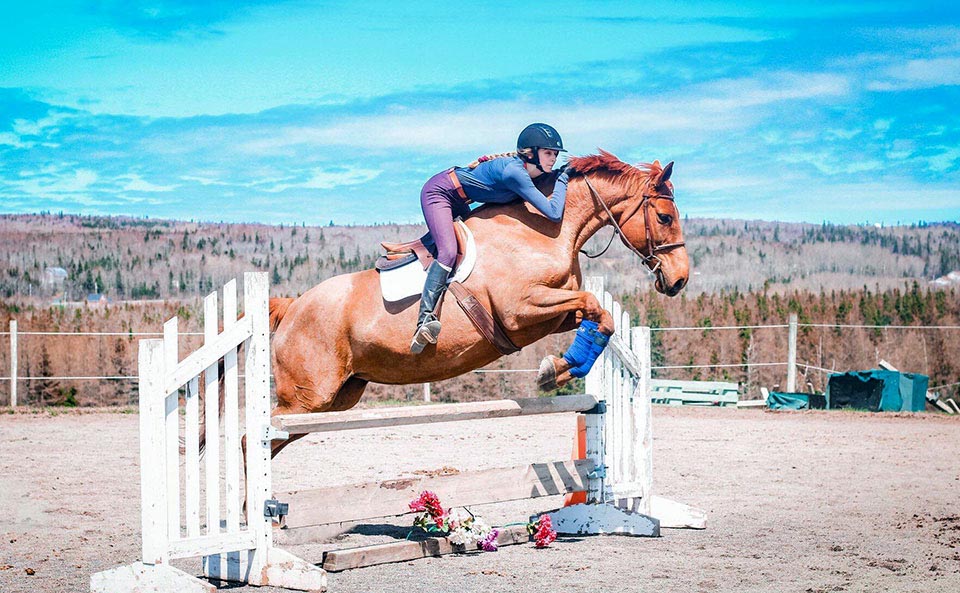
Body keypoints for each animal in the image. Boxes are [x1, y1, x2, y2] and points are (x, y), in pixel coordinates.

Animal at [266, 150, 688, 456]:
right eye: (664, 217)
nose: (679, 280)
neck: (547, 229)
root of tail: (292, 307)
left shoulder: (552, 315)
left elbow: (600, 318)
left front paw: (560, 369)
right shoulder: (521, 310)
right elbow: (592, 305)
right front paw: (554, 369)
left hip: (337, 398)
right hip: (308, 397)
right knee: (263, 432)